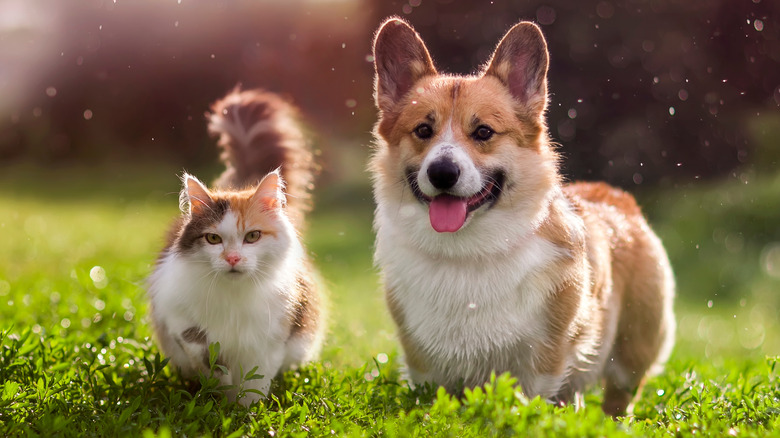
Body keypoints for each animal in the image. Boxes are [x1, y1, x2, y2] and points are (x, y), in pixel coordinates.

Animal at [148, 87, 324, 406]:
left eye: (252, 237)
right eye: (213, 239)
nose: (232, 258)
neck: (233, 298)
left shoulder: (270, 338)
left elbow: (255, 382)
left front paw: (245, 411)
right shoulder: (175, 315)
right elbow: (203, 350)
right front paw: (220, 391)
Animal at [368, 17, 672, 416]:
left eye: (483, 132)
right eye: (423, 130)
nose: (442, 172)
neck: (467, 253)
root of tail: (616, 195)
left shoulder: (544, 358)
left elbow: (531, 398)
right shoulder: (423, 363)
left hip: (632, 352)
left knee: (618, 398)